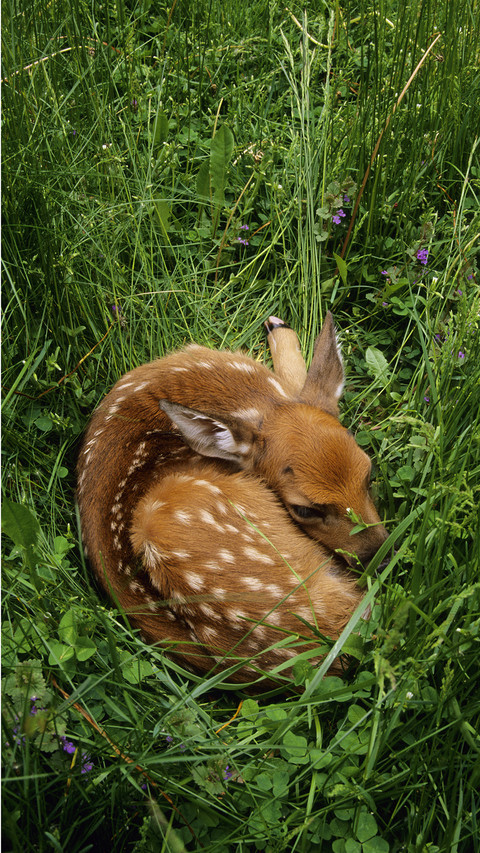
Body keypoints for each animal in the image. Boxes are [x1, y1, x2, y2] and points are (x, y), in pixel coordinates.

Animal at [76, 313, 388, 685]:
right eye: (303, 509)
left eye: (368, 472)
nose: (381, 557)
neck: (246, 394)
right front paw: (279, 330)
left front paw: (279, 327)